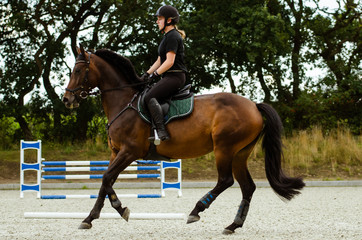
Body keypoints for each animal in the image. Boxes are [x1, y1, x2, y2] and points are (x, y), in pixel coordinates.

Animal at [63, 45, 304, 234]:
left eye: (78, 70)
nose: (67, 100)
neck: (123, 102)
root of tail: (254, 105)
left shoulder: (129, 152)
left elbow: (106, 178)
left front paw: (115, 210)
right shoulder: (116, 152)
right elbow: (106, 182)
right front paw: (93, 217)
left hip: (224, 148)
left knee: (225, 181)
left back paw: (197, 211)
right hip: (239, 154)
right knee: (248, 187)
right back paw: (233, 225)